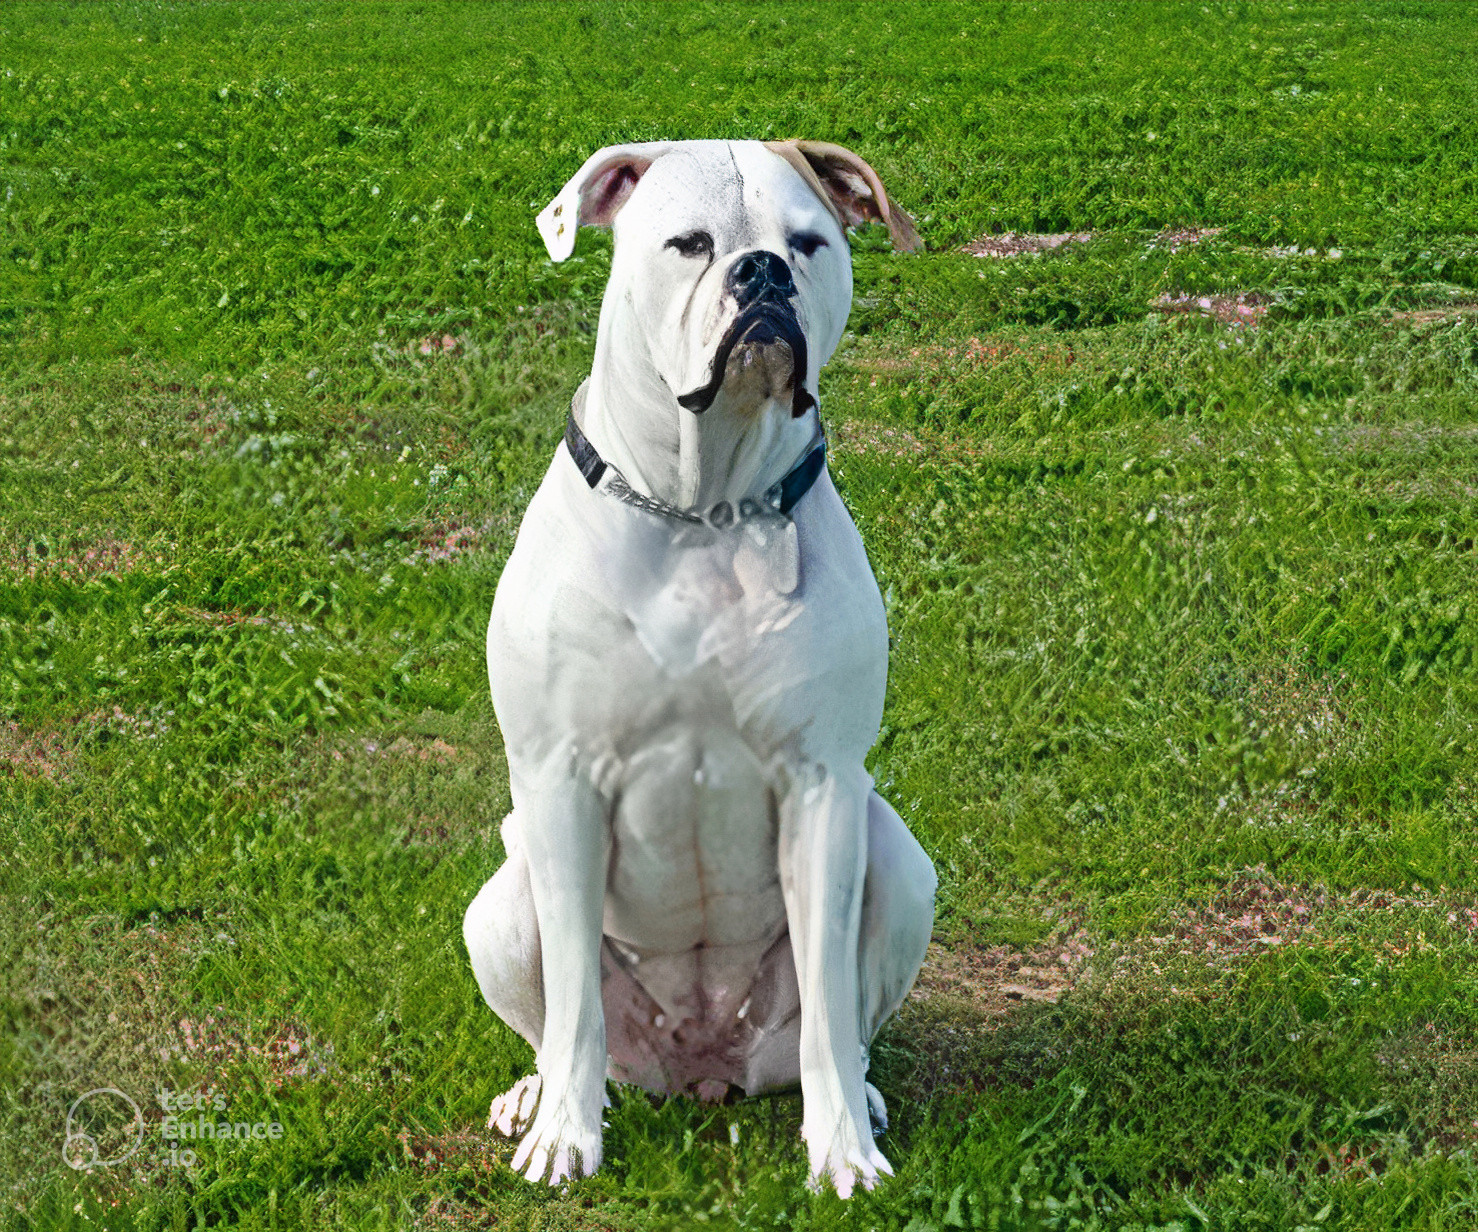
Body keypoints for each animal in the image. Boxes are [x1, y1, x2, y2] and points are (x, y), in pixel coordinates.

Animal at [464, 138, 934, 1193]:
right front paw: (564, 1139)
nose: (761, 275)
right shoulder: (560, 781)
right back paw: (538, 1097)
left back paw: (863, 1097)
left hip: (899, 861)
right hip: (502, 901)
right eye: (689, 244)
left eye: (808, 242)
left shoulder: (822, 786)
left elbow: (831, 1012)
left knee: (847, 1029)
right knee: (557, 1023)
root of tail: (703, 1067)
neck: (705, 509)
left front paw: (844, 1151)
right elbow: (574, 1007)